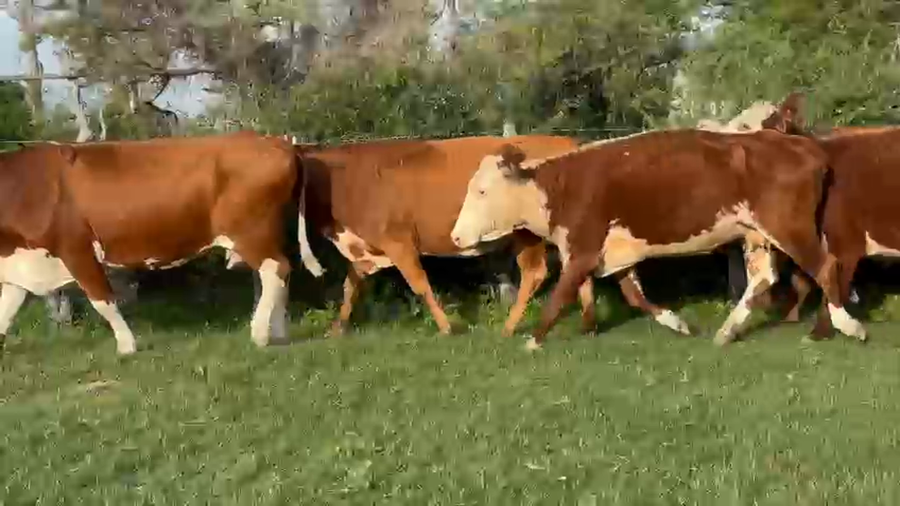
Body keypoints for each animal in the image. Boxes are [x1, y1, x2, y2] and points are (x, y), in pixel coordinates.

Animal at [0, 132, 323, 355]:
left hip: (250, 231)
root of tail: (276, 141)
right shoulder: (17, 266)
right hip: (266, 232)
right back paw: (278, 331)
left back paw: (259, 333)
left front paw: (127, 346)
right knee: (280, 273)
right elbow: (5, 312)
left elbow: (103, 301)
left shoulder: (77, 251)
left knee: (275, 269)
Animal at [450, 128, 867, 350]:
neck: (560, 188)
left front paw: (533, 341)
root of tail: (801, 145)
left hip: (788, 226)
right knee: (763, 278)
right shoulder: (615, 254)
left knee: (826, 266)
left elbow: (559, 296)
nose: (455, 236)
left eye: (482, 190)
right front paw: (677, 322)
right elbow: (634, 296)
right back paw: (727, 331)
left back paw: (844, 326)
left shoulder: (582, 251)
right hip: (756, 235)